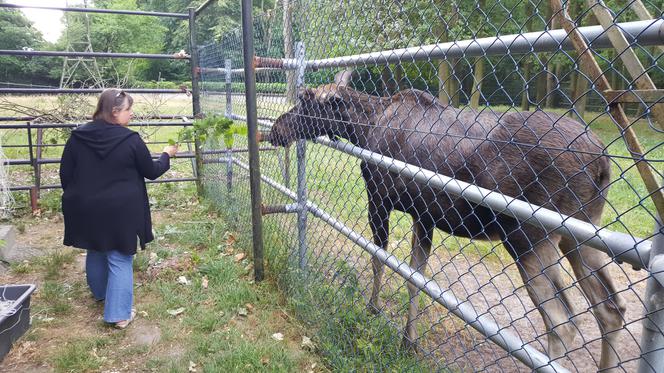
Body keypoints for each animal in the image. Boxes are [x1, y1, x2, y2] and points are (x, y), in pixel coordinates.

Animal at [268, 71, 624, 368]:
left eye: (305, 100)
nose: (275, 129)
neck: (363, 128)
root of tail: (602, 163)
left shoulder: (378, 200)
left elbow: (378, 258)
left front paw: (372, 309)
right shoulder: (423, 216)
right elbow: (415, 278)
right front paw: (408, 341)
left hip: (529, 238)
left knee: (563, 321)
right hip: (581, 236)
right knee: (610, 309)